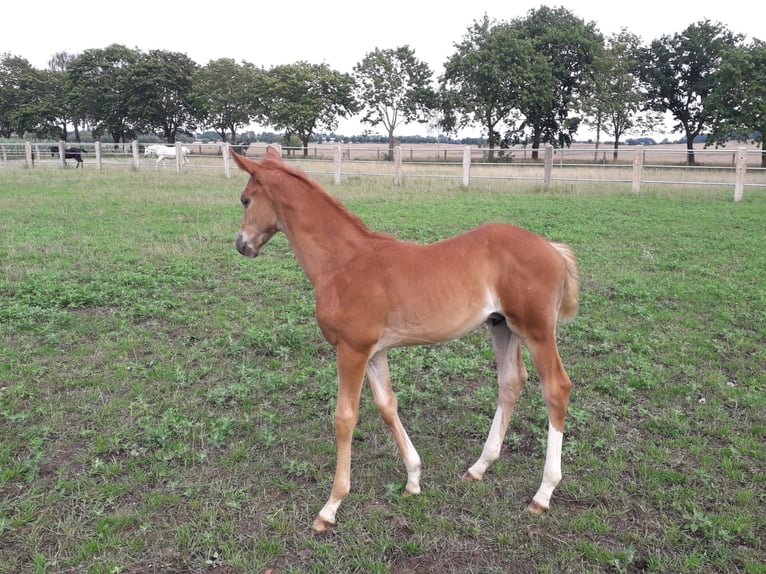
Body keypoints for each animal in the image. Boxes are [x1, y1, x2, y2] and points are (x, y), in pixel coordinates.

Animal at [231, 146, 579, 532]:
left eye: (245, 199)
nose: (241, 245)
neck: (342, 262)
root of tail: (551, 247)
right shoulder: (373, 352)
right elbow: (387, 405)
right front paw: (413, 478)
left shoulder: (350, 351)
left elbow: (345, 417)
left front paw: (331, 505)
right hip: (501, 326)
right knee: (511, 381)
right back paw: (478, 468)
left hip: (536, 330)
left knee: (556, 387)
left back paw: (543, 493)